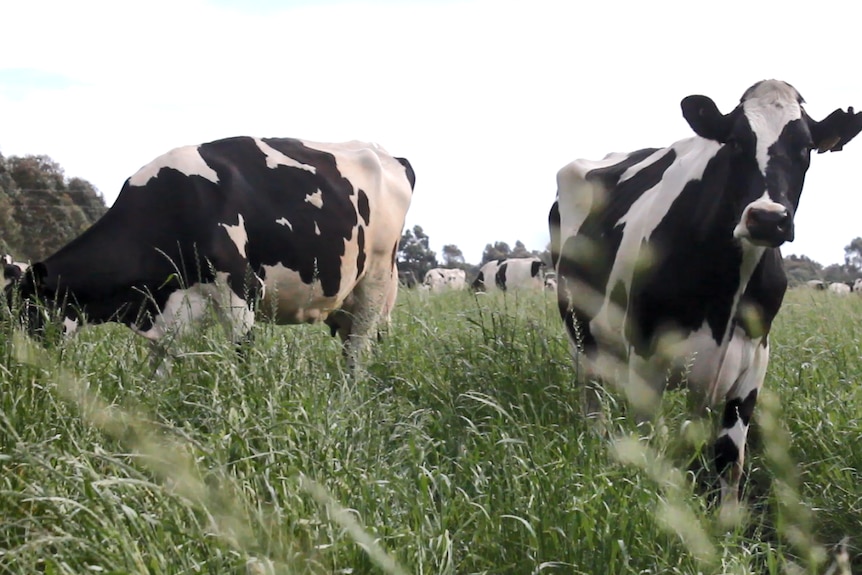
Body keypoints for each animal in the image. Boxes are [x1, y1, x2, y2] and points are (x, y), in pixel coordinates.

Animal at [6, 137, 416, 368]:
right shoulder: (171, 309)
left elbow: (241, 361)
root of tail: (389, 156)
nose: (19, 373)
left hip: (374, 282)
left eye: (29, 314)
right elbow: (158, 369)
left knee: (357, 355)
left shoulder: (242, 289)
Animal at [552, 80, 862, 508]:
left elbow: (729, 454)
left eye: (805, 147)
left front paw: (728, 518)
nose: (767, 218)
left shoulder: (753, 361)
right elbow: (654, 442)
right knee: (592, 399)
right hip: (583, 336)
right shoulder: (645, 358)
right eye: (736, 142)